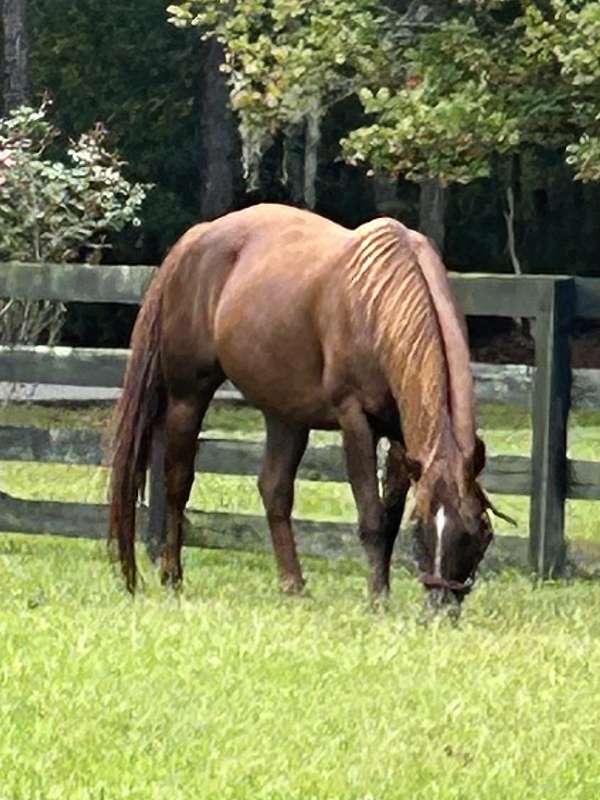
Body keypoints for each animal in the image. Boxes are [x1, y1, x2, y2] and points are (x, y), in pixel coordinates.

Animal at [111, 205, 496, 608]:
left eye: (479, 531)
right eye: (422, 531)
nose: (440, 609)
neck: (378, 305)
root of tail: (194, 238)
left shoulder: (404, 435)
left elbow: (390, 516)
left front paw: (383, 592)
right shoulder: (355, 419)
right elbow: (372, 516)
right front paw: (377, 600)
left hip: (285, 414)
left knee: (274, 489)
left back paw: (292, 584)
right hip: (187, 397)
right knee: (178, 483)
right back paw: (172, 576)